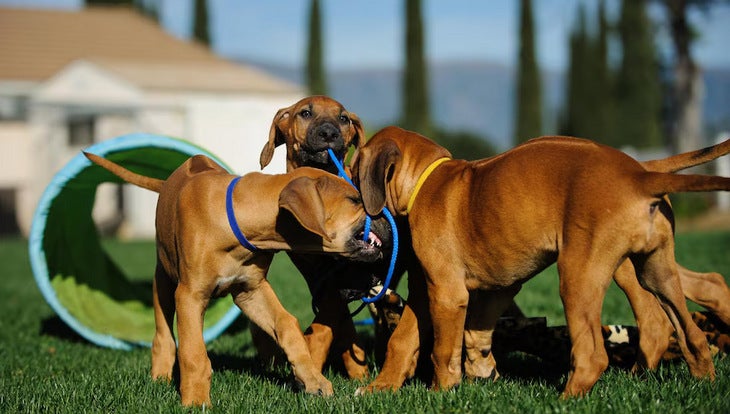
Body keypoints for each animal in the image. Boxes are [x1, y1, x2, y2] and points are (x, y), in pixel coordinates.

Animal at [82, 151, 384, 404]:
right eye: (354, 200)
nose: (383, 212)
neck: (237, 222)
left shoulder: (251, 290)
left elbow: (288, 326)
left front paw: (313, 381)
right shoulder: (190, 295)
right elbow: (193, 352)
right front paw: (195, 401)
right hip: (164, 279)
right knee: (163, 333)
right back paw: (160, 376)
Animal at [352, 127, 728, 398]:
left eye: (354, 171)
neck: (427, 181)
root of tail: (640, 174)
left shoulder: (446, 293)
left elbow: (443, 349)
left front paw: (441, 391)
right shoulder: (471, 289)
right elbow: (416, 340)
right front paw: (385, 386)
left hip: (579, 275)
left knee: (594, 354)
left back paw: (566, 400)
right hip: (654, 270)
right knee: (691, 330)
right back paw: (703, 383)